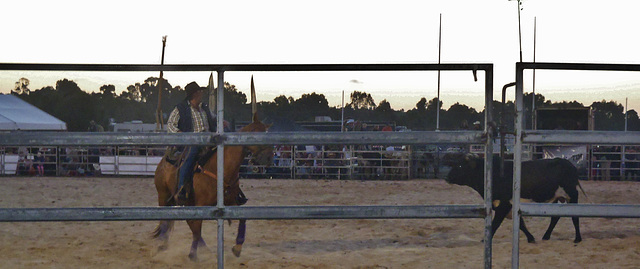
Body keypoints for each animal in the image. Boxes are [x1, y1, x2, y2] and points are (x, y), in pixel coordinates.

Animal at [152, 77, 272, 260]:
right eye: (255, 134)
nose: (269, 158)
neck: (221, 169)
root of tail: (162, 163)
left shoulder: (230, 202)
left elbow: (242, 219)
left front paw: (237, 246)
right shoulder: (201, 204)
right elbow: (196, 227)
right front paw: (192, 254)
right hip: (163, 195)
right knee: (167, 220)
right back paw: (164, 244)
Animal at [444, 153, 584, 243]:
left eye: (460, 166)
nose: (447, 177)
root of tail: (569, 165)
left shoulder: (504, 205)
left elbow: (495, 224)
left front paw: (484, 240)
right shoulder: (510, 207)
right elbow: (521, 224)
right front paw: (531, 238)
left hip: (572, 195)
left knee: (574, 216)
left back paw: (577, 238)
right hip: (557, 198)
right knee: (555, 217)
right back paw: (546, 236)